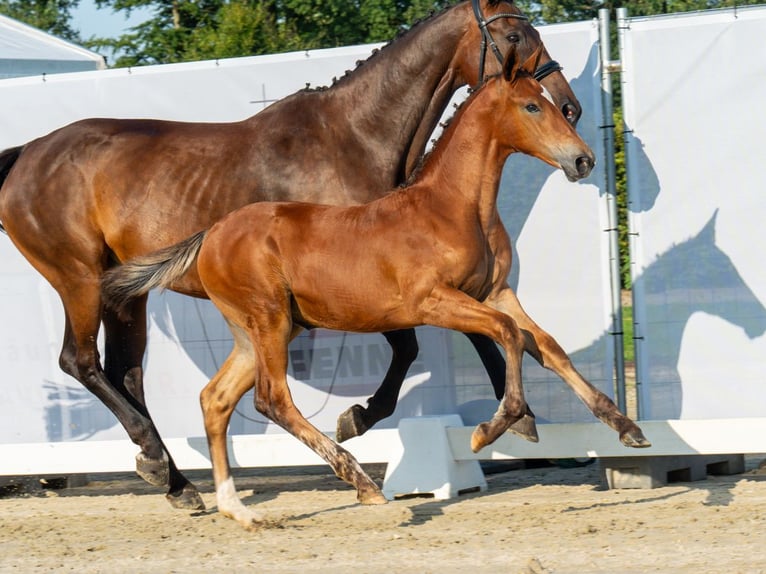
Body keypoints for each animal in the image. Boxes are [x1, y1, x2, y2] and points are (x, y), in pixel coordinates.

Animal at [0, 0, 580, 512]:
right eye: (514, 35)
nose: (569, 105)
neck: (355, 138)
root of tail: (26, 153)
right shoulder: (378, 283)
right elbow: (420, 346)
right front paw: (362, 418)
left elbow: (479, 333)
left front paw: (527, 422)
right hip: (80, 278)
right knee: (80, 361)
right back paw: (159, 462)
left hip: (127, 296)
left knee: (127, 373)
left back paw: (173, 479)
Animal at [102, 47, 652, 532]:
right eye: (532, 105)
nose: (582, 160)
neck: (452, 206)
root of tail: (211, 233)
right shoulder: (434, 302)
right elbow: (507, 336)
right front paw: (491, 429)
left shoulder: (496, 292)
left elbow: (548, 346)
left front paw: (627, 428)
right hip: (270, 321)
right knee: (272, 399)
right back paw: (361, 482)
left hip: (256, 331)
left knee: (215, 398)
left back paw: (238, 510)